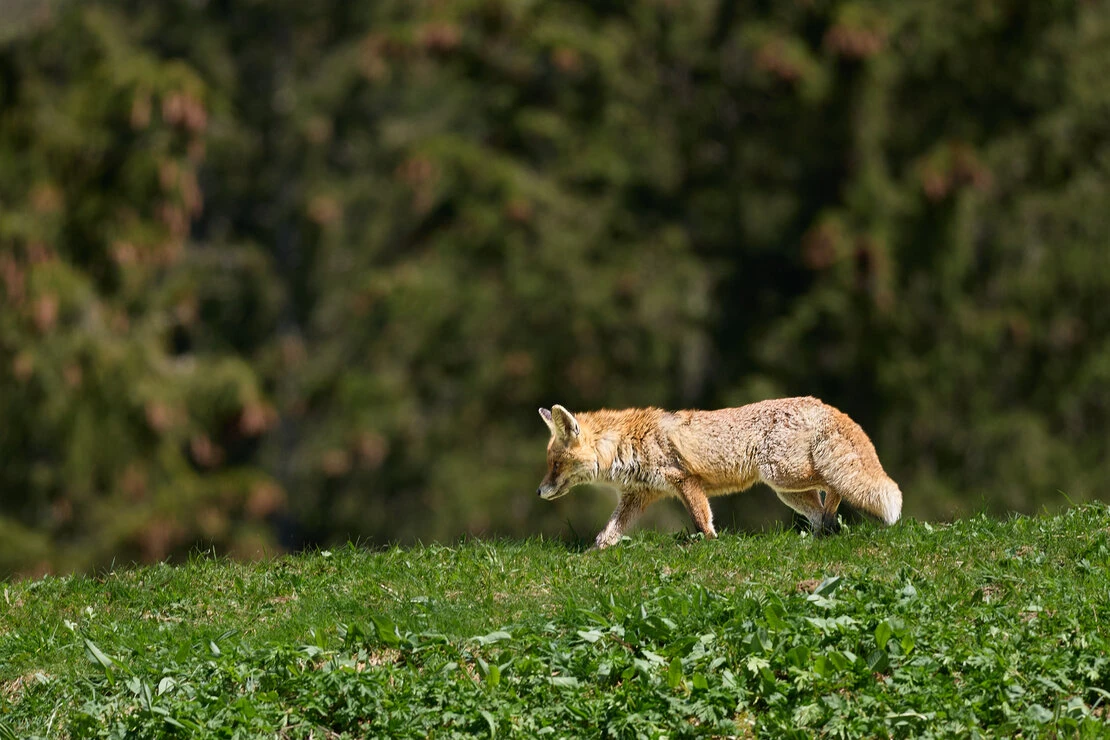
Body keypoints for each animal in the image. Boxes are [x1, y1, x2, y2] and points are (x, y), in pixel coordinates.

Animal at [537, 397, 902, 549]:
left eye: (555, 465)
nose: (539, 492)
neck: (625, 445)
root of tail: (819, 403)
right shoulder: (637, 497)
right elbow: (607, 535)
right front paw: (591, 557)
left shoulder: (685, 480)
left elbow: (702, 520)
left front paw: (710, 545)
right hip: (788, 490)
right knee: (820, 511)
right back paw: (822, 533)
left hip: (785, 475)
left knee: (834, 483)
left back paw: (830, 518)